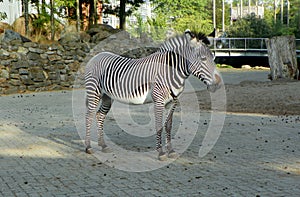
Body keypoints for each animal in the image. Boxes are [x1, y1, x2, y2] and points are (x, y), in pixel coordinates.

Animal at [84, 30, 223, 160]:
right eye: (203, 59)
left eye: (214, 58)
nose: (218, 84)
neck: (170, 71)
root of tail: (96, 56)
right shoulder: (159, 101)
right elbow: (158, 126)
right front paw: (161, 153)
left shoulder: (172, 102)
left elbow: (168, 126)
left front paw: (171, 151)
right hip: (94, 92)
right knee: (89, 116)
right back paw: (88, 147)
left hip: (107, 97)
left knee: (100, 115)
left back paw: (103, 145)